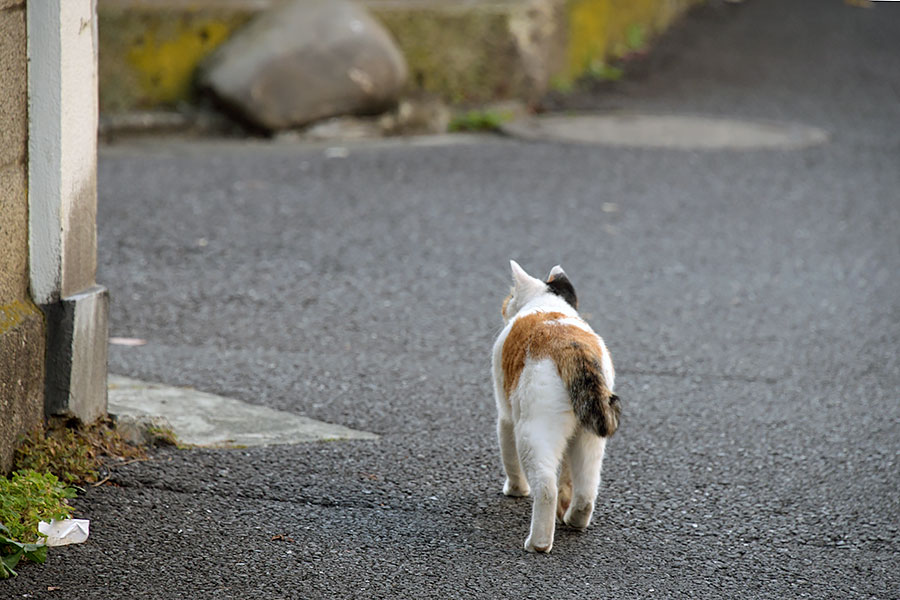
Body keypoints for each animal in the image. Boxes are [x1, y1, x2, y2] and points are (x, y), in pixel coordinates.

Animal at [492, 260, 620, 552]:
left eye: (510, 295)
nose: (504, 304)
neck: (549, 303)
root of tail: (573, 347)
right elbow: (568, 478)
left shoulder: (505, 415)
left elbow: (508, 456)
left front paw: (515, 490)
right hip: (589, 436)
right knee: (586, 491)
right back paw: (574, 519)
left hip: (532, 431)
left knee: (546, 486)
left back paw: (538, 543)